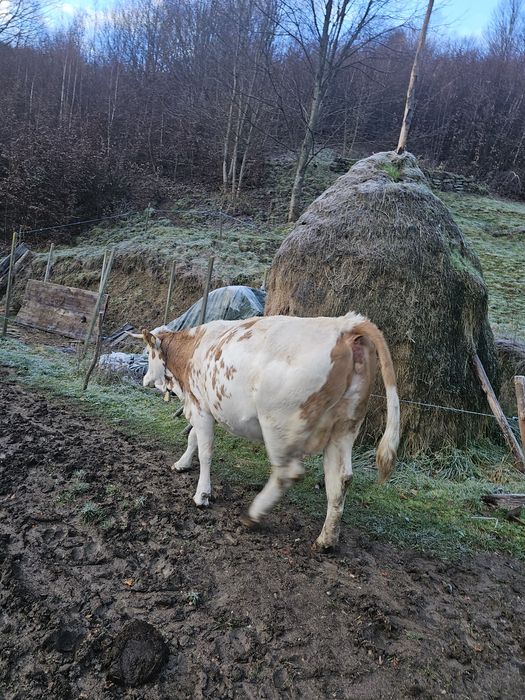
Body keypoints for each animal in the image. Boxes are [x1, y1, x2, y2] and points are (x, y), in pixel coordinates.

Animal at [132, 312, 400, 551]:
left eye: (148, 353)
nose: (144, 380)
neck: (194, 347)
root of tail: (345, 324)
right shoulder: (202, 407)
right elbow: (192, 438)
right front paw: (182, 463)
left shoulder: (200, 406)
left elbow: (205, 451)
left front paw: (202, 494)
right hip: (345, 427)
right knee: (340, 479)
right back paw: (326, 540)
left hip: (278, 423)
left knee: (287, 473)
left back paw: (254, 515)